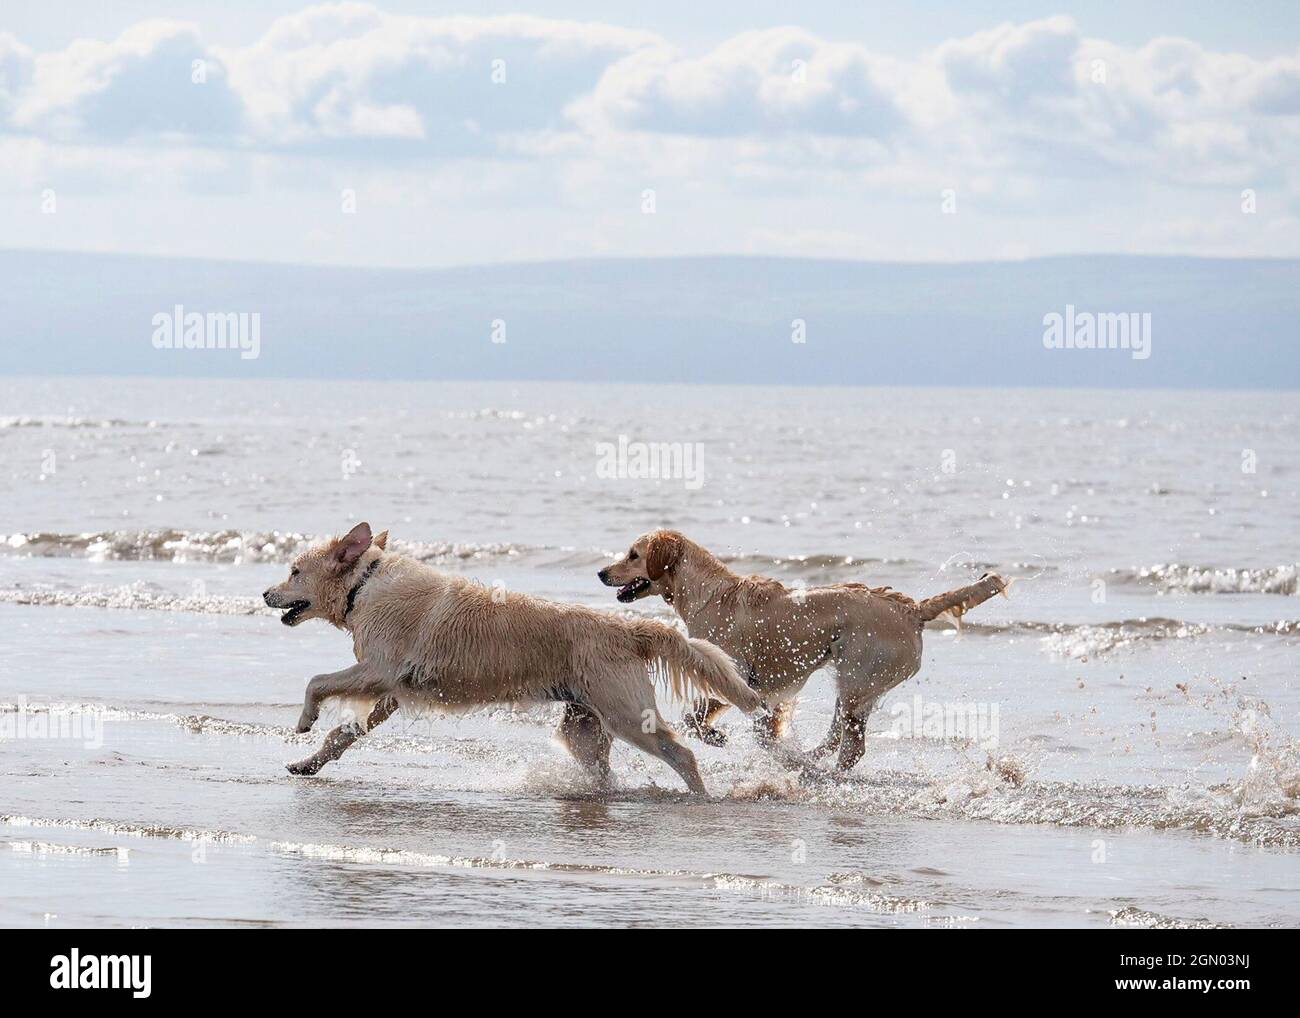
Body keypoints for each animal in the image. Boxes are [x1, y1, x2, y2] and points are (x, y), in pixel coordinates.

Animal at [261, 522, 759, 790]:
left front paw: (304, 719)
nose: (265, 593)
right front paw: (308, 762)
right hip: (584, 725)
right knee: (602, 768)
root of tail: (629, 628)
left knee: (682, 754)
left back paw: (701, 797)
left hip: (627, 714)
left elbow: (318, 681)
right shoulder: (391, 691)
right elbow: (344, 734)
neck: (362, 587)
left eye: (294, 571)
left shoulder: (378, 670)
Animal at [598, 530, 1003, 769]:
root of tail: (913, 608)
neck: (706, 592)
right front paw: (768, 743)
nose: (601, 573)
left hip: (856, 679)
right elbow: (748, 725)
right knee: (839, 737)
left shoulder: (736, 673)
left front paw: (720, 737)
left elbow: (695, 718)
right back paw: (806, 761)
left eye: (633, 555)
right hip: (854, 686)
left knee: (852, 748)